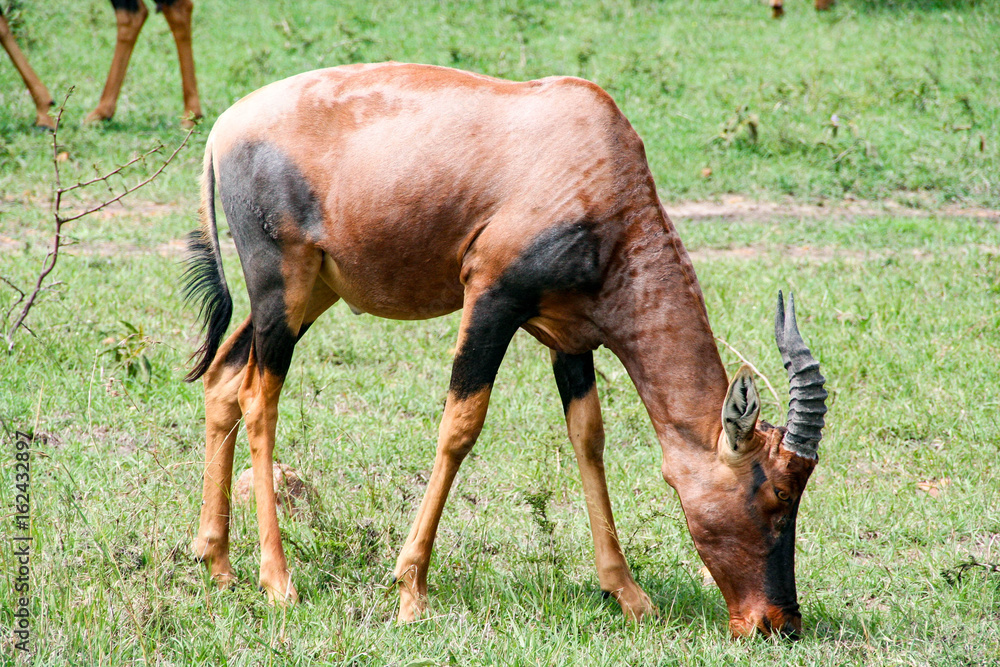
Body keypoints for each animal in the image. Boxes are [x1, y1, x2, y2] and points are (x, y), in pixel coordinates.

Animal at [184, 62, 828, 637]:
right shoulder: (491, 299)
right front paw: (410, 591)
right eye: (774, 493)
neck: (591, 152)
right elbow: (460, 427)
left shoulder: (570, 338)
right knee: (258, 398)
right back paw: (278, 583)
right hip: (282, 284)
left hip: (313, 292)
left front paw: (629, 596)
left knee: (223, 378)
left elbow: (588, 439)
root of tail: (225, 127)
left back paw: (217, 565)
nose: (777, 624)